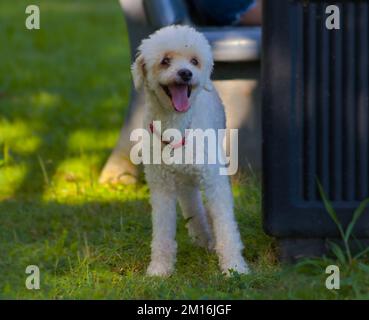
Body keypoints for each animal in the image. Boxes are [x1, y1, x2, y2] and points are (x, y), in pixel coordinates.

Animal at [131, 25, 249, 276]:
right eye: (165, 61)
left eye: (195, 61)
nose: (186, 73)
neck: (176, 126)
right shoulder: (161, 186)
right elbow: (162, 231)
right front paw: (159, 269)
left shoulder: (214, 181)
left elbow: (226, 225)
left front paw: (234, 267)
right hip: (184, 181)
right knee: (192, 203)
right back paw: (203, 237)